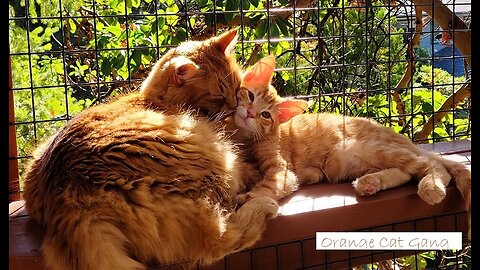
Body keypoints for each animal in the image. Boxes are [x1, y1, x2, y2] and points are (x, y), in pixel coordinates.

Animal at [22, 29, 278, 270]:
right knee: (221, 239)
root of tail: (68, 193)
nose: (234, 107)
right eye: (219, 96)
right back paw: (263, 206)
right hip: (215, 166)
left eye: (236, 89)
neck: (154, 99)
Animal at [230, 54, 472, 236]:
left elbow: (270, 185)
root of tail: (403, 139)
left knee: (430, 164)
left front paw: (248, 199)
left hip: (359, 148)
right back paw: (370, 183)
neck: (248, 139)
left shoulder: (282, 170)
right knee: (406, 172)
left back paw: (431, 186)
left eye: (265, 115)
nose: (250, 113)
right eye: (250, 95)